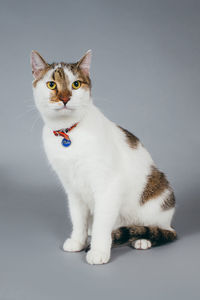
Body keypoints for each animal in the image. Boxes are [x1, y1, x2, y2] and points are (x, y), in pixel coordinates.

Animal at [30, 49, 176, 264]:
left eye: (76, 84)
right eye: (51, 84)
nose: (65, 98)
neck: (69, 132)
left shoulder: (108, 186)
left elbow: (101, 223)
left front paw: (98, 251)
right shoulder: (72, 189)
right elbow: (78, 219)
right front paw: (78, 240)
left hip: (159, 196)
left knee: (161, 230)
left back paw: (142, 239)